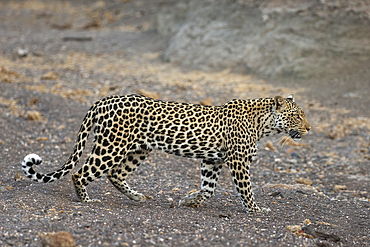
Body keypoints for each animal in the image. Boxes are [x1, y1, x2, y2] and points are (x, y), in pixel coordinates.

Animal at [20, 93, 310, 213]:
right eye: (297, 116)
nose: (309, 128)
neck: (264, 124)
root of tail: (102, 101)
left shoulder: (212, 159)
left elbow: (208, 189)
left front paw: (189, 201)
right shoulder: (238, 161)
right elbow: (246, 189)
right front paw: (255, 209)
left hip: (139, 149)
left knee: (116, 174)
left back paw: (137, 197)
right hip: (111, 147)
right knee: (80, 173)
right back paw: (87, 200)